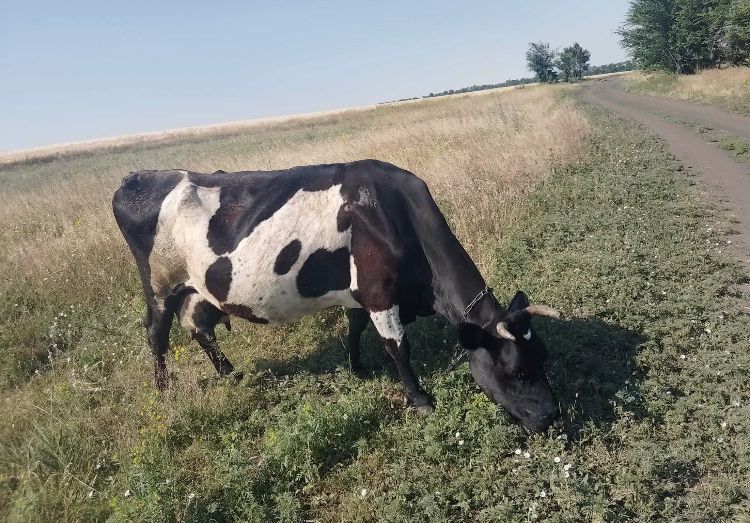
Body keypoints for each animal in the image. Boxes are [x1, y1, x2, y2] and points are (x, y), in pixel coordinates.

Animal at [113, 159, 563, 432]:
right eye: (517, 371)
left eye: (543, 357)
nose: (551, 416)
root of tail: (136, 177)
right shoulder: (379, 292)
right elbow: (397, 347)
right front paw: (419, 398)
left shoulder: (358, 295)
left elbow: (354, 329)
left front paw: (357, 368)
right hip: (159, 284)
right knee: (157, 333)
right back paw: (164, 389)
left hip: (199, 287)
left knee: (199, 326)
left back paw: (229, 372)